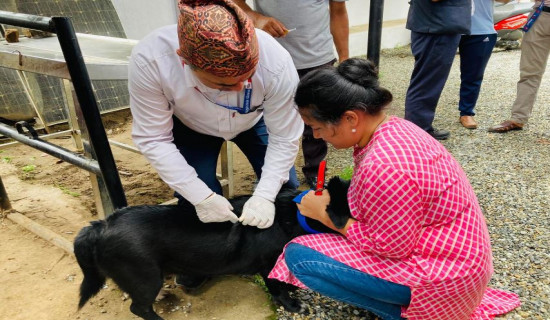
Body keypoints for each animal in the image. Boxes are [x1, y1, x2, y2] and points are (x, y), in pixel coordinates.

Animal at [73, 176, 352, 318]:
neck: (295, 214)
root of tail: (100, 226)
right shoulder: (268, 266)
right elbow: (278, 288)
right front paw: (293, 305)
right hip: (145, 277)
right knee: (138, 307)